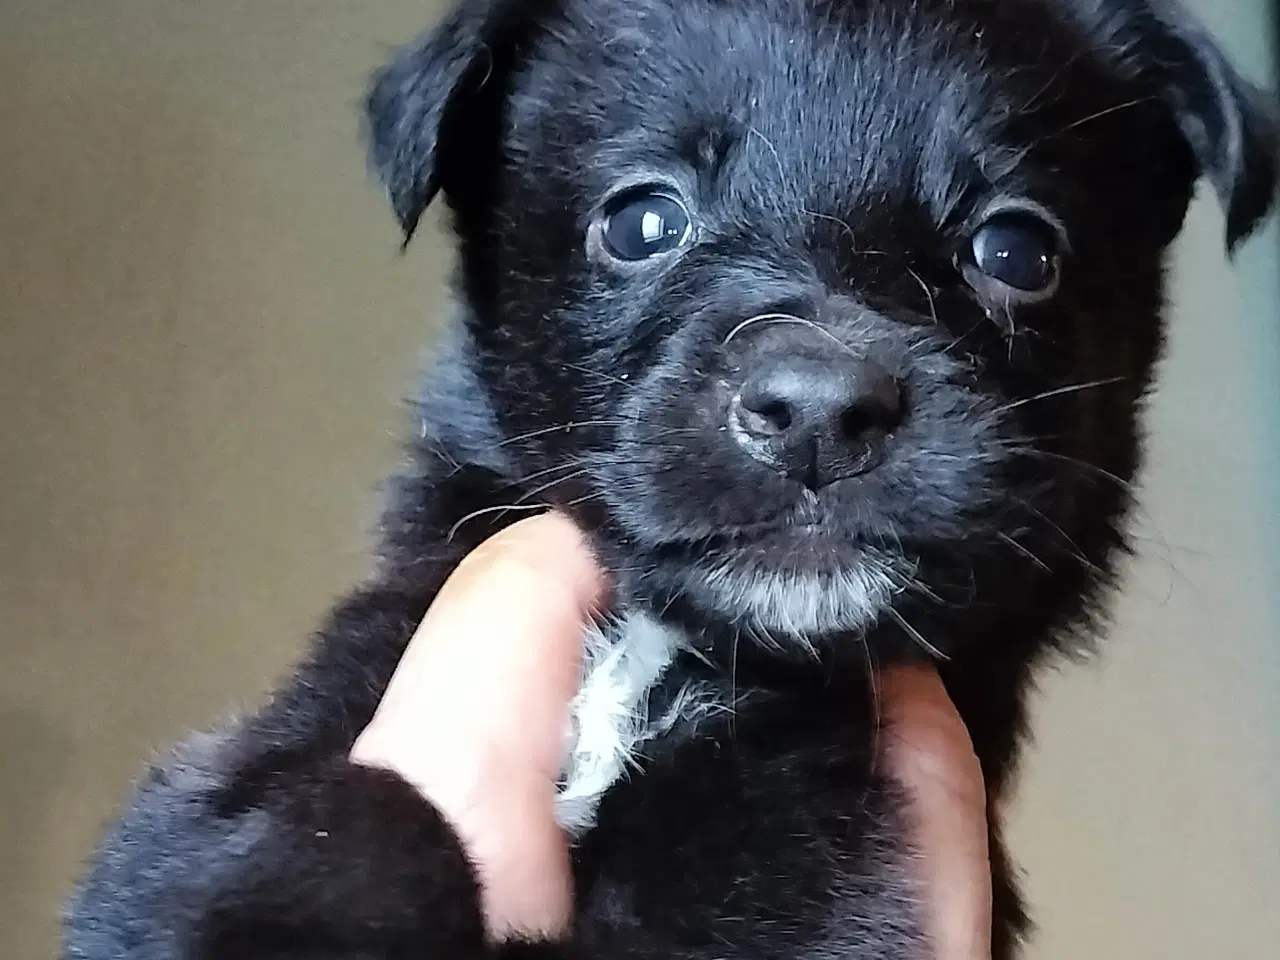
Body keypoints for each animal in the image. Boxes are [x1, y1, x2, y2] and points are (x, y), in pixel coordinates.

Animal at [64, 1, 1274, 960]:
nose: (818, 411)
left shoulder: (814, 881)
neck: (661, 651)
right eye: (641, 220)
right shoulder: (209, 799)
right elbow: (350, 818)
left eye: (1017, 249)